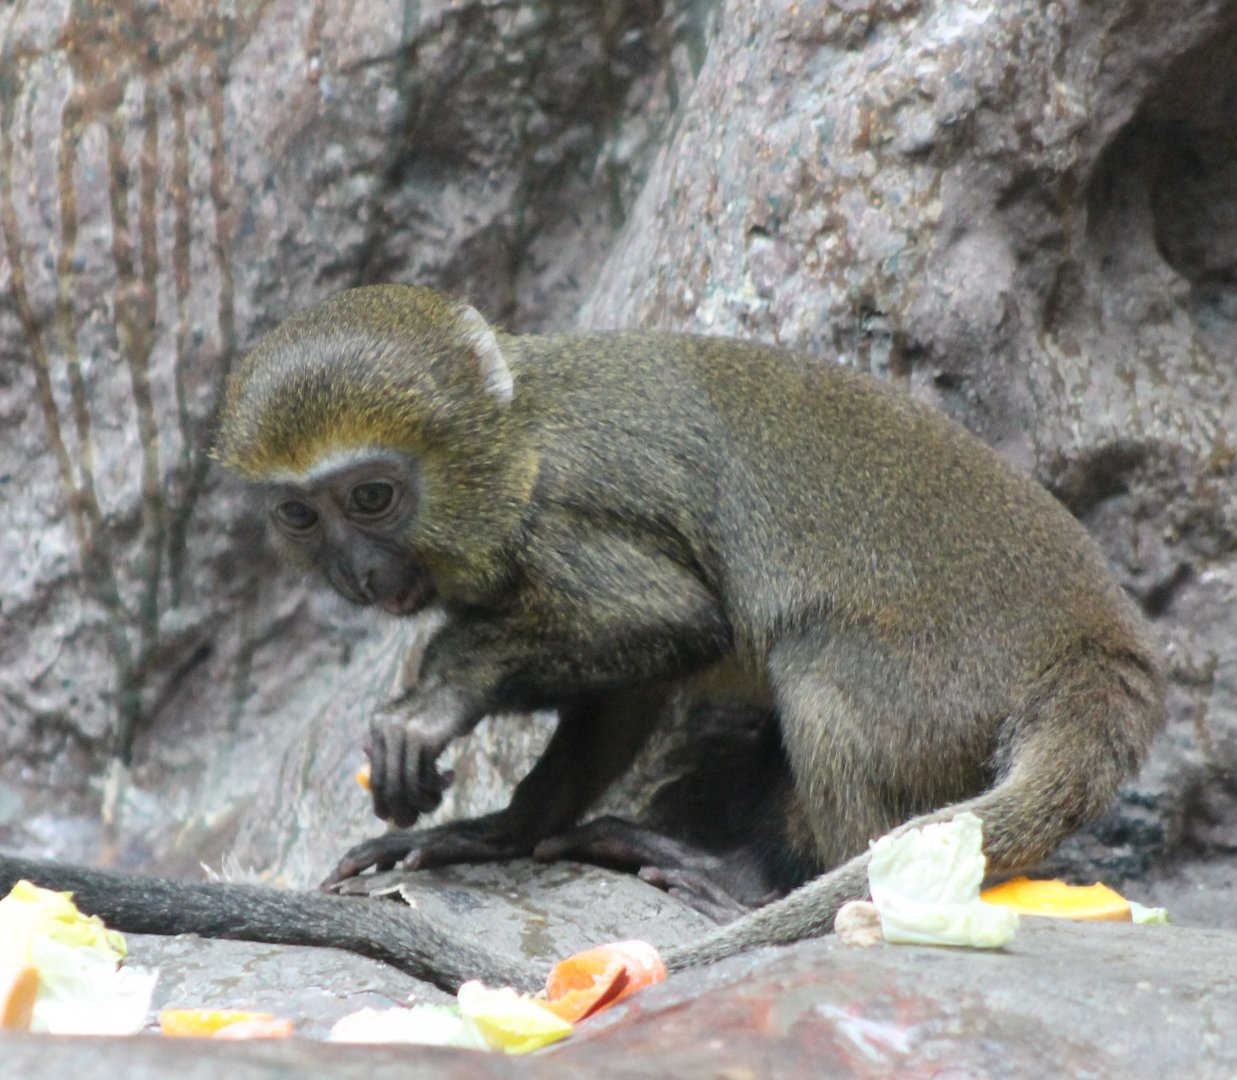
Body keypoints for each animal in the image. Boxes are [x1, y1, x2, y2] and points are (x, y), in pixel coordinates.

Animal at [2, 284, 1163, 985]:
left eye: (372, 497)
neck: (514, 436)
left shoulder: (562, 516)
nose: (360, 573)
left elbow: (670, 619)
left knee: (818, 671)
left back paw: (762, 880)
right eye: (301, 515)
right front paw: (494, 833)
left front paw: (438, 696)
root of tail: (1096, 644)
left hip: (936, 674)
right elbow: (634, 683)